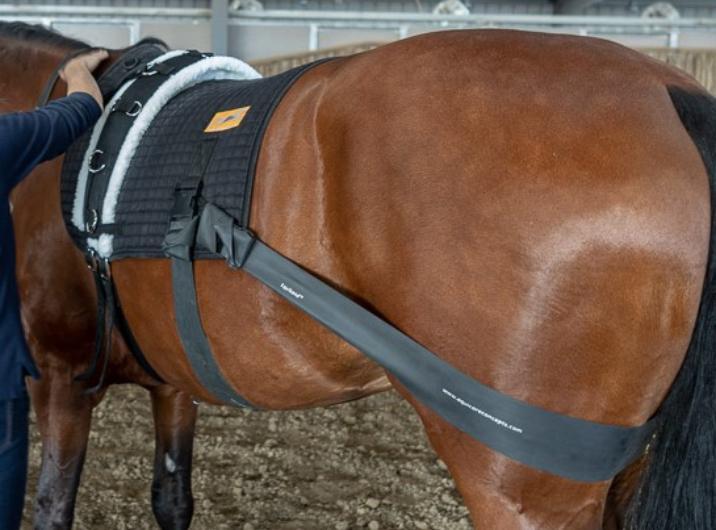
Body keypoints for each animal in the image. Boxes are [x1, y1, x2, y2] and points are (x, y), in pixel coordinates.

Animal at [4, 21, 716, 530]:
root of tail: (672, 101)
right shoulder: (172, 378)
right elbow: (171, 499)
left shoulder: (60, 380)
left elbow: (53, 509)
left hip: (525, 488)